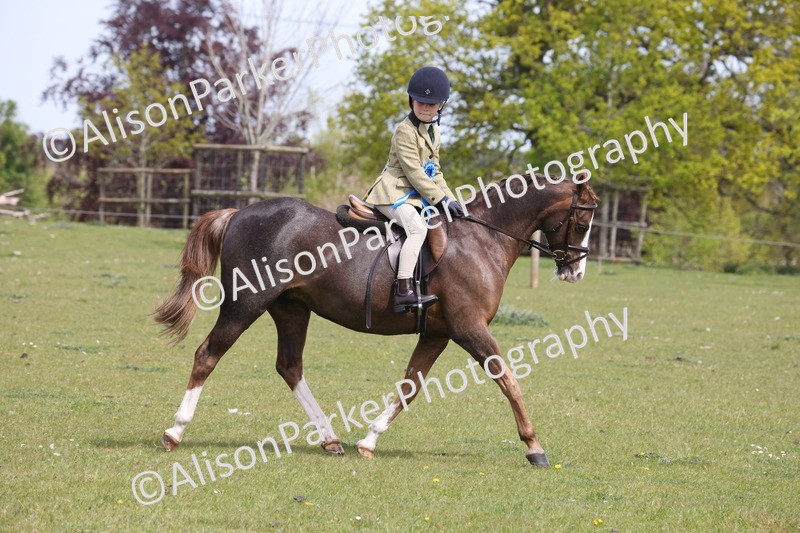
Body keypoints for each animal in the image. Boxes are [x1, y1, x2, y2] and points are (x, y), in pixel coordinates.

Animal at [154, 173, 598, 466]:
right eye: (581, 221)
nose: (575, 272)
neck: (481, 239)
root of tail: (239, 213)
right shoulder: (470, 328)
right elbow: (507, 380)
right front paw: (534, 447)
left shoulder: (437, 334)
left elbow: (409, 388)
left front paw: (369, 441)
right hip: (245, 304)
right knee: (207, 355)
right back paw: (175, 431)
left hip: (292, 309)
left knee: (290, 366)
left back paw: (331, 440)